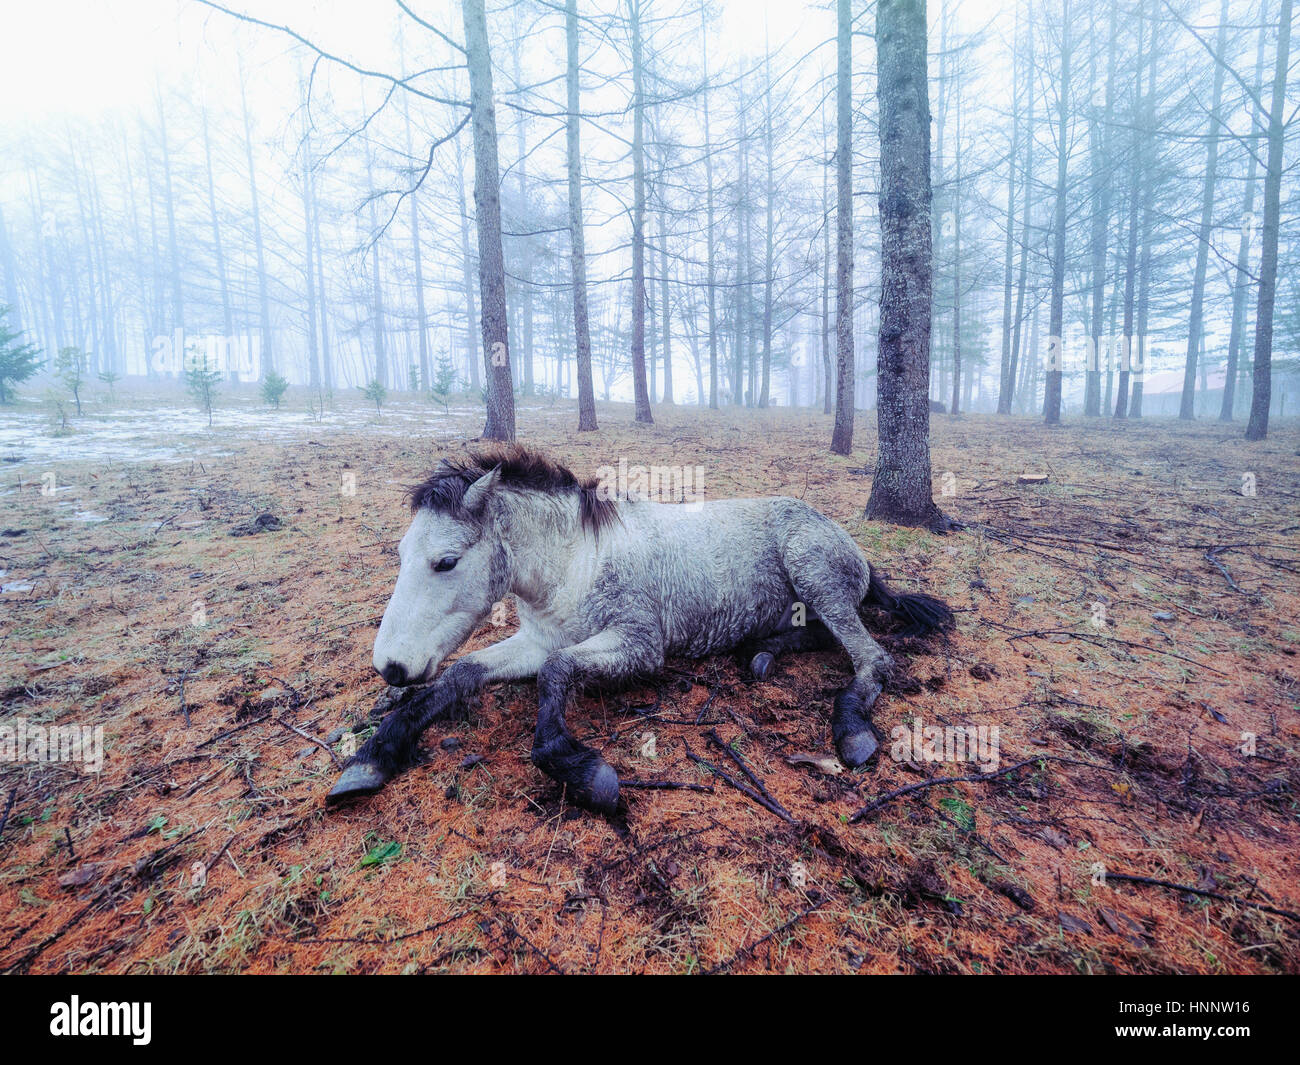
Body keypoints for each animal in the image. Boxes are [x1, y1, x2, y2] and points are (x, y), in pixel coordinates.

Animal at [326, 445, 953, 814]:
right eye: (401, 554)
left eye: (446, 562)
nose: (391, 667)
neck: (576, 561)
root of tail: (852, 546)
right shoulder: (537, 640)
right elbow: (462, 673)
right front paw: (373, 756)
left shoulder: (638, 645)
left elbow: (556, 675)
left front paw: (581, 770)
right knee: (818, 635)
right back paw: (762, 653)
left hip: (816, 574)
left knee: (871, 658)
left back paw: (851, 727)